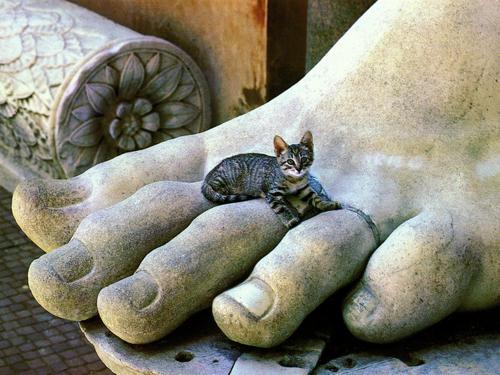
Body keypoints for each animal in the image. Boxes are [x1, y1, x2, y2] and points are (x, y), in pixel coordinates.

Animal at [201, 132, 342, 229]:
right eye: (290, 161)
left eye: (304, 159)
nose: (299, 169)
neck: (294, 180)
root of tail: (209, 175)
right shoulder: (272, 193)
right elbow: (280, 208)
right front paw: (290, 220)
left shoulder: (305, 189)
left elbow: (316, 198)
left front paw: (327, 204)